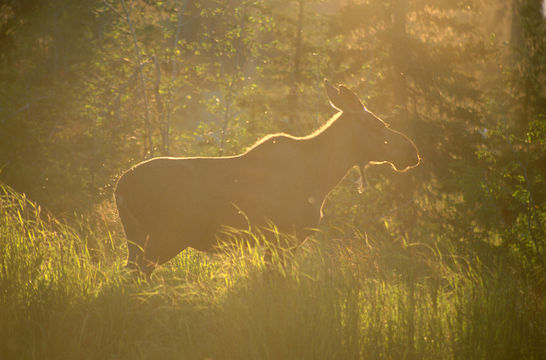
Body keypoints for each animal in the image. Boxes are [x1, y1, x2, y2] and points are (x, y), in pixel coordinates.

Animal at [115, 81, 418, 278]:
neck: (324, 175)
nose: (412, 150)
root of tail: (120, 185)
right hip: (169, 234)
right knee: (139, 273)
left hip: (136, 236)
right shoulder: (286, 237)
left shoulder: (275, 241)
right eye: (377, 125)